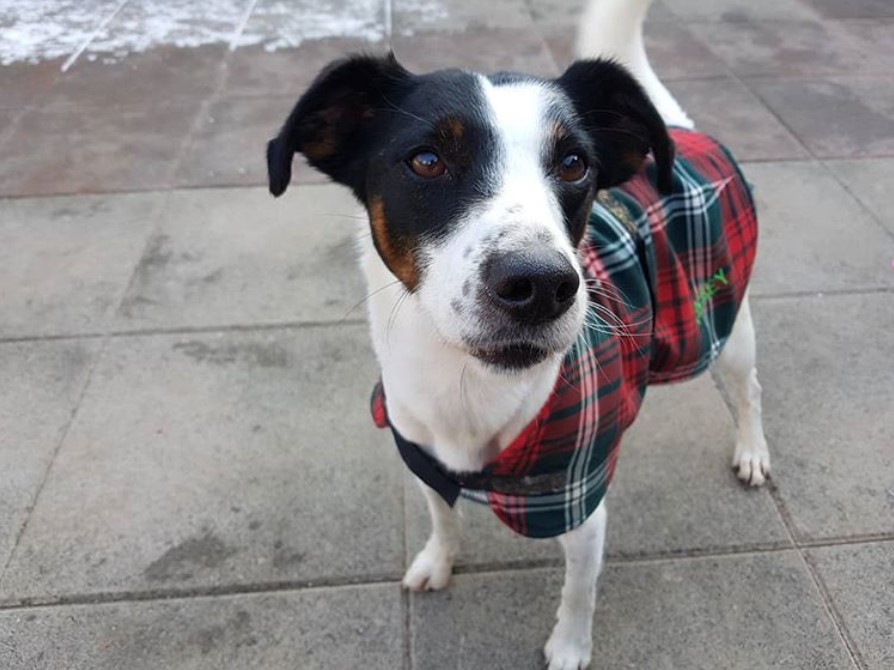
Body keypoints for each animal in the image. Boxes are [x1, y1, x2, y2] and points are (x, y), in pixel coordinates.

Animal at [264, 0, 768, 668]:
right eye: (427, 160)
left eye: (575, 163)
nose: (543, 285)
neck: (464, 387)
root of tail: (682, 132)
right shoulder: (422, 456)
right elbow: (442, 518)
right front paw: (437, 560)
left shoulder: (579, 504)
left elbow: (580, 590)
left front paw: (570, 646)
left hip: (726, 327)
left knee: (747, 390)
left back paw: (753, 451)